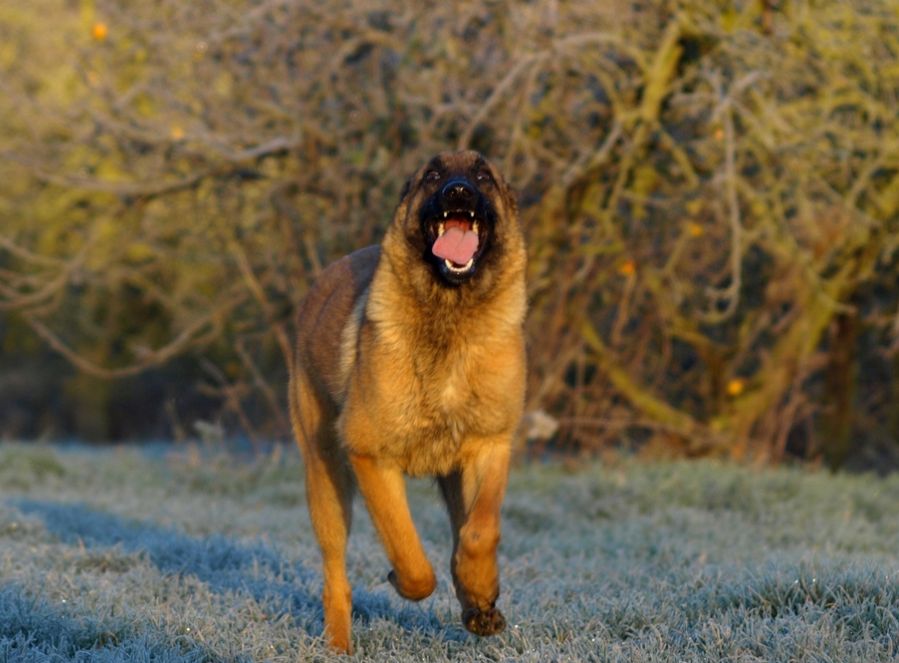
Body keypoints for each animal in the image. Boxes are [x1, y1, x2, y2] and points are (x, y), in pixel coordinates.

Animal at [288, 150, 528, 652]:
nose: (458, 192)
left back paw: (478, 604)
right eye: (433, 174)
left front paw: (482, 594)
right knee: (335, 576)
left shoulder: (490, 445)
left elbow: (480, 532)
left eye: (483, 175)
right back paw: (339, 646)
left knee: (462, 534)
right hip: (326, 481)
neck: (450, 314)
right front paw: (404, 581)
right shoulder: (371, 458)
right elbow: (410, 552)